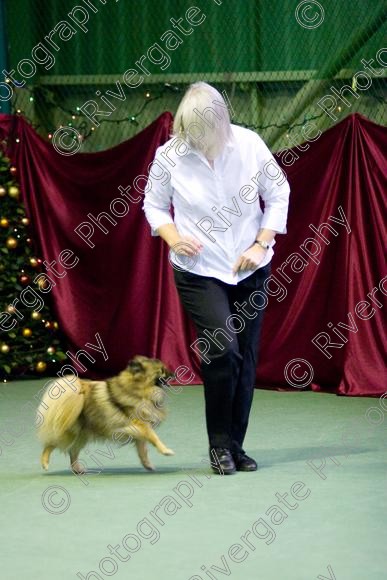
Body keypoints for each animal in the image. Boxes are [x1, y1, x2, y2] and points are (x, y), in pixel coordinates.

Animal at [36, 354, 176, 476]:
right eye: (162, 370)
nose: (173, 373)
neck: (138, 390)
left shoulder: (138, 433)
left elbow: (143, 451)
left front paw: (148, 465)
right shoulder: (141, 425)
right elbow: (154, 438)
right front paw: (166, 451)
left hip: (81, 435)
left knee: (73, 452)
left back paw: (78, 470)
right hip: (68, 433)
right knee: (50, 445)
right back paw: (45, 463)